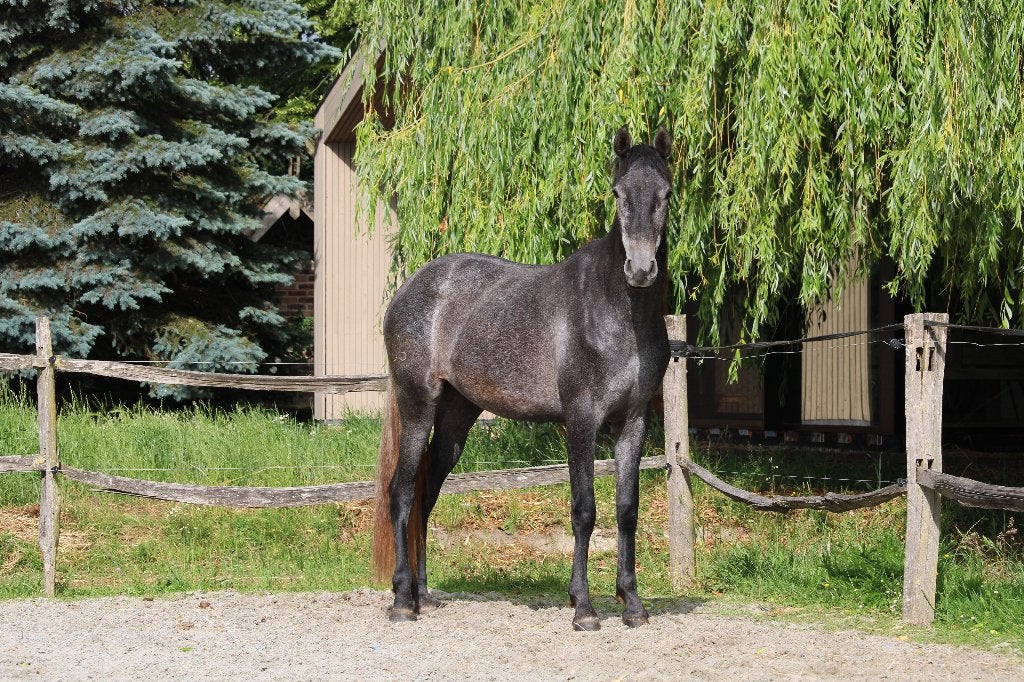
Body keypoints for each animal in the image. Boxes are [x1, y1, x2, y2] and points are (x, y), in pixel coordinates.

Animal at [372, 124, 674, 631]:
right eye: (618, 194)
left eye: (666, 194)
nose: (640, 269)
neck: (618, 313)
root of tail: (410, 288)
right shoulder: (581, 421)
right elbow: (584, 510)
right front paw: (584, 608)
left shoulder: (632, 422)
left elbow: (627, 511)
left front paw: (632, 603)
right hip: (417, 406)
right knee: (402, 491)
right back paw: (401, 601)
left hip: (456, 417)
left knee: (426, 494)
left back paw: (423, 595)